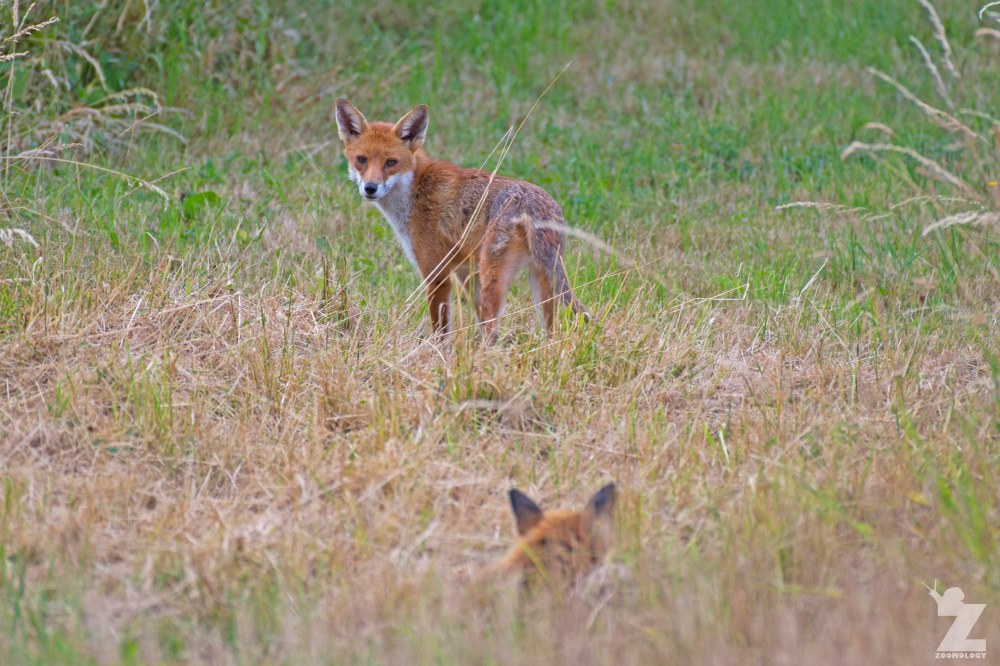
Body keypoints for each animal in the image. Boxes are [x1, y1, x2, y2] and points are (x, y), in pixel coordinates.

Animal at [334, 98, 588, 341]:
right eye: (362, 160)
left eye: (391, 162)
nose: (370, 188)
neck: (414, 190)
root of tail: (534, 205)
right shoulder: (465, 273)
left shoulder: (436, 274)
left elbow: (441, 332)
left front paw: (436, 354)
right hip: (541, 280)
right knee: (550, 332)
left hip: (494, 276)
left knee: (493, 333)